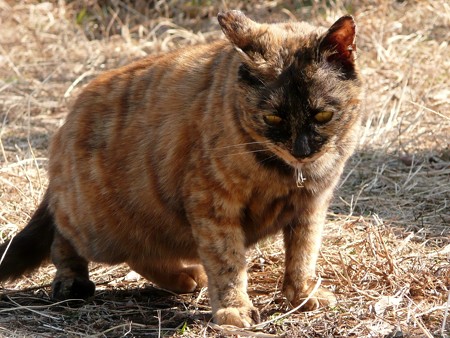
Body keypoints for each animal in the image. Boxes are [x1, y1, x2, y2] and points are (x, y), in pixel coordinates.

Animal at [0, 10, 360, 328]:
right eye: (273, 117)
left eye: (322, 115)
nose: (302, 150)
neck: (288, 174)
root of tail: (66, 121)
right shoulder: (213, 204)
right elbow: (228, 263)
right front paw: (234, 311)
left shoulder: (312, 206)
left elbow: (303, 253)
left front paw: (303, 294)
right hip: (95, 227)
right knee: (63, 237)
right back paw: (72, 282)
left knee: (141, 253)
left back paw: (187, 277)